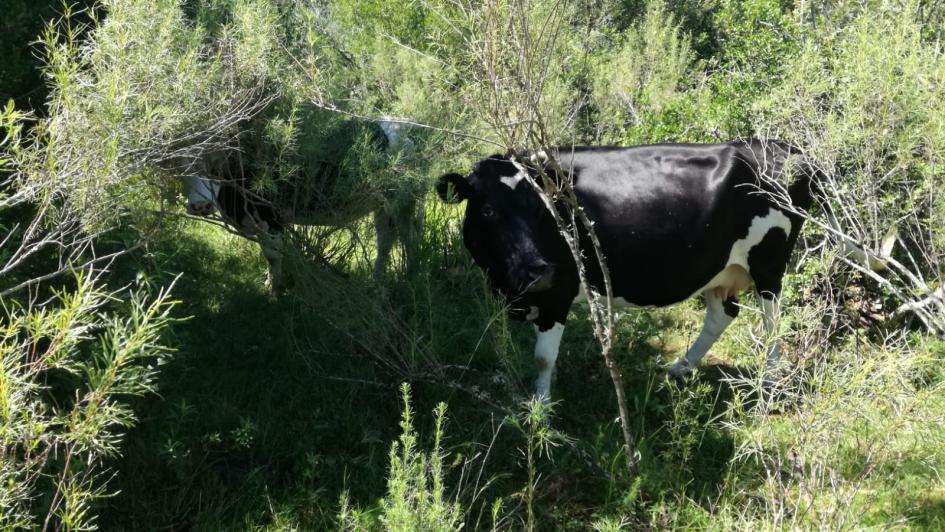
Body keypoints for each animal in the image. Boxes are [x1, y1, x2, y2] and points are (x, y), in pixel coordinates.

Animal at [180, 118, 420, 294]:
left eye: (216, 164)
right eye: (179, 165)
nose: (200, 205)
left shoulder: (271, 218)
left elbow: (273, 254)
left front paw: (274, 292)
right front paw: (270, 285)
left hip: (400, 203)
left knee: (407, 237)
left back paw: (408, 276)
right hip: (383, 207)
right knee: (386, 240)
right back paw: (378, 282)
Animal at [438, 139, 816, 396]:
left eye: (539, 209)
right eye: (488, 210)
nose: (537, 271)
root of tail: (783, 147)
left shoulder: (557, 291)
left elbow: (542, 356)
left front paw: (540, 410)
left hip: (768, 263)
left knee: (773, 321)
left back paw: (769, 382)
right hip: (719, 268)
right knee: (722, 314)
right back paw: (679, 369)